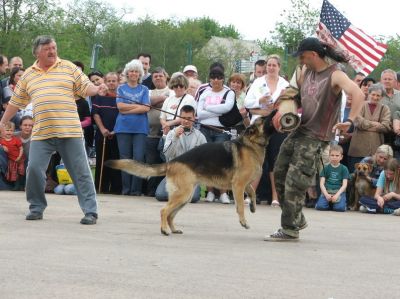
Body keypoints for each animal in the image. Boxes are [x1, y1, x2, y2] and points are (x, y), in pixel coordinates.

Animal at [104, 111, 276, 236]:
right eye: (264, 119)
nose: (275, 111)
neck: (251, 144)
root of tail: (171, 162)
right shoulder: (238, 185)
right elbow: (240, 206)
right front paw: (244, 221)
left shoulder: (245, 184)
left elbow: (252, 192)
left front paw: (253, 206)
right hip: (183, 194)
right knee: (164, 211)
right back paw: (164, 230)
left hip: (184, 197)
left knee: (170, 214)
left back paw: (173, 229)